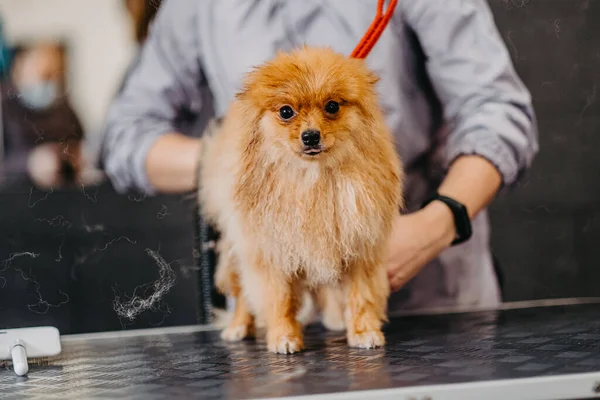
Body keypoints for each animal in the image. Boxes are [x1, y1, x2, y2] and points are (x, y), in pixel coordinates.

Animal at [200, 46, 404, 354]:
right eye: (286, 112)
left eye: (332, 107)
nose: (310, 136)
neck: (313, 178)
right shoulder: (271, 254)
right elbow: (279, 300)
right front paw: (284, 337)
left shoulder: (360, 249)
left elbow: (361, 296)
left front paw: (364, 331)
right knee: (244, 295)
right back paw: (238, 327)